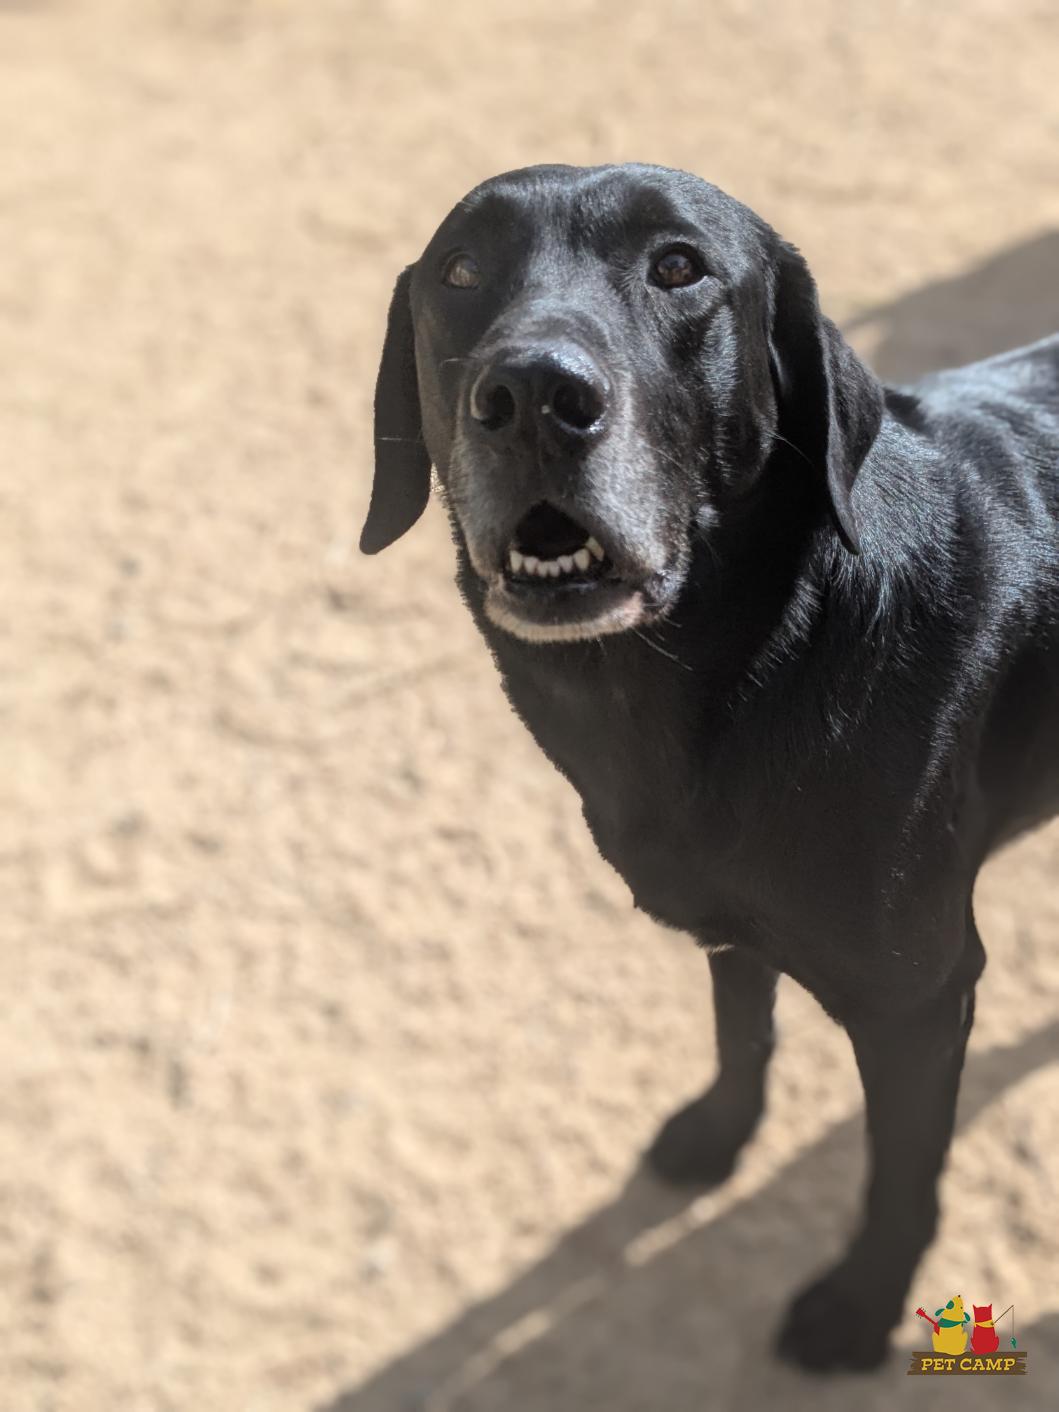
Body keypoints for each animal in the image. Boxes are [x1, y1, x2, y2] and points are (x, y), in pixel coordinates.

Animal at [360, 163, 1059, 1371]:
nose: (532, 394)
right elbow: (744, 1033)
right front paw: (718, 1137)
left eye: (678, 266)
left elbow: (900, 1173)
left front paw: (861, 1306)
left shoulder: (922, 1001)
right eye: (460, 271)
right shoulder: (732, 923)